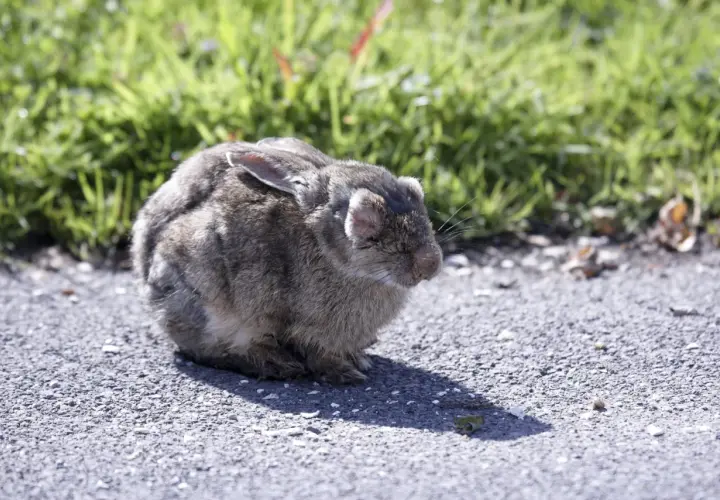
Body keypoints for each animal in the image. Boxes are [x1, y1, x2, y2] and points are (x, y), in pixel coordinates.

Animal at [130, 137, 443, 384]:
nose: (429, 264)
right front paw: (345, 374)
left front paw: (357, 362)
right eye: (365, 222)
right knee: (210, 350)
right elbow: (319, 354)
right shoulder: (308, 327)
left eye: (415, 194)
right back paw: (275, 365)